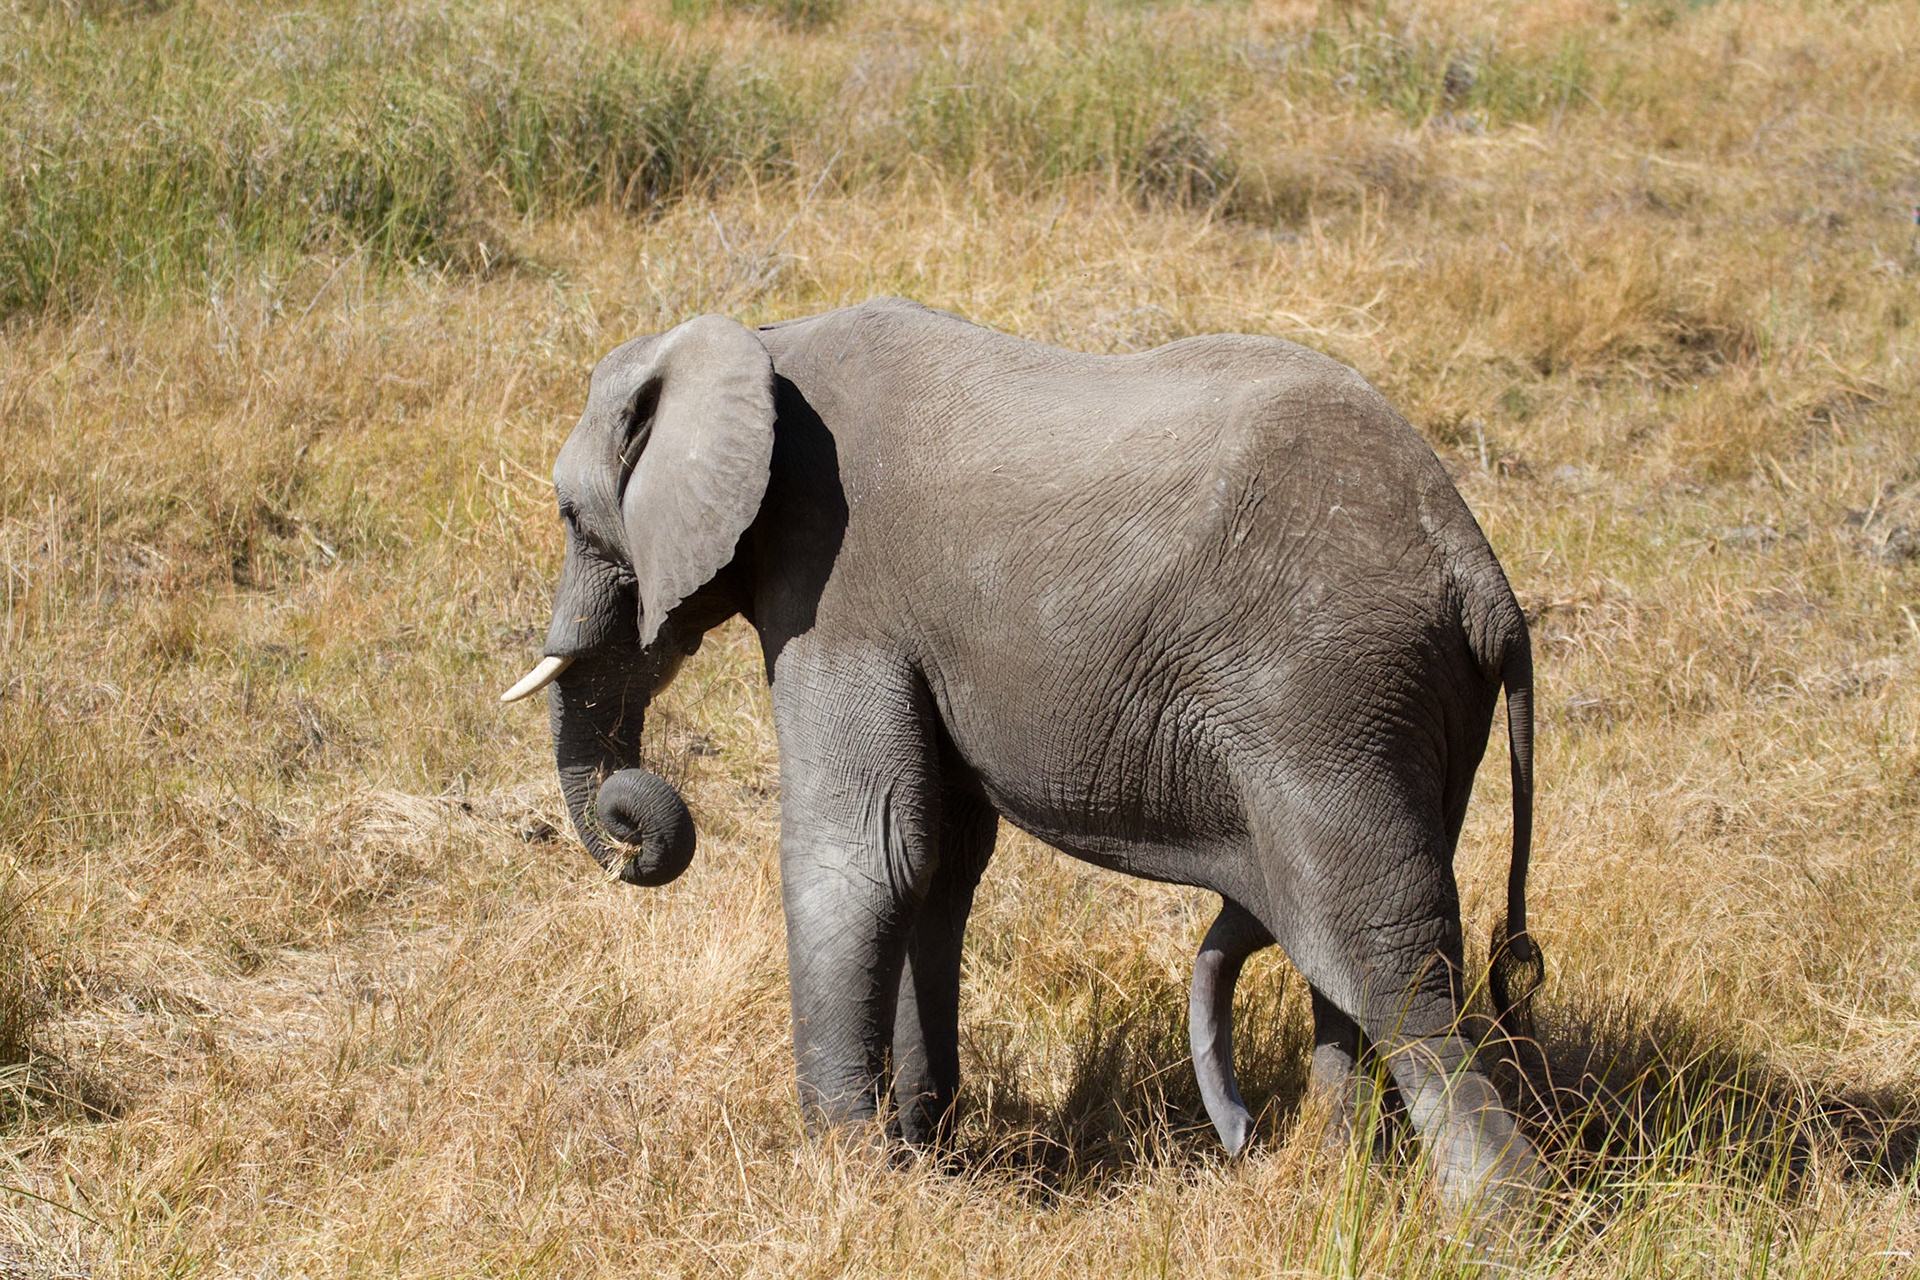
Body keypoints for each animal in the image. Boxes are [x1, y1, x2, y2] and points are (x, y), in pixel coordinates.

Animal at [502, 297, 1546, 1214]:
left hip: (1328, 703)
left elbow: (862, 855)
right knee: (1350, 964)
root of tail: (1481, 572)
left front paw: (851, 1180)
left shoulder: (836, 585)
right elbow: (935, 864)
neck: (760, 339)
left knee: (1390, 960)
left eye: (568, 517)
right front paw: (920, 1156)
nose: (633, 831)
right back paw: (1337, 1188)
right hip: (1408, 722)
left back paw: (1496, 1223)